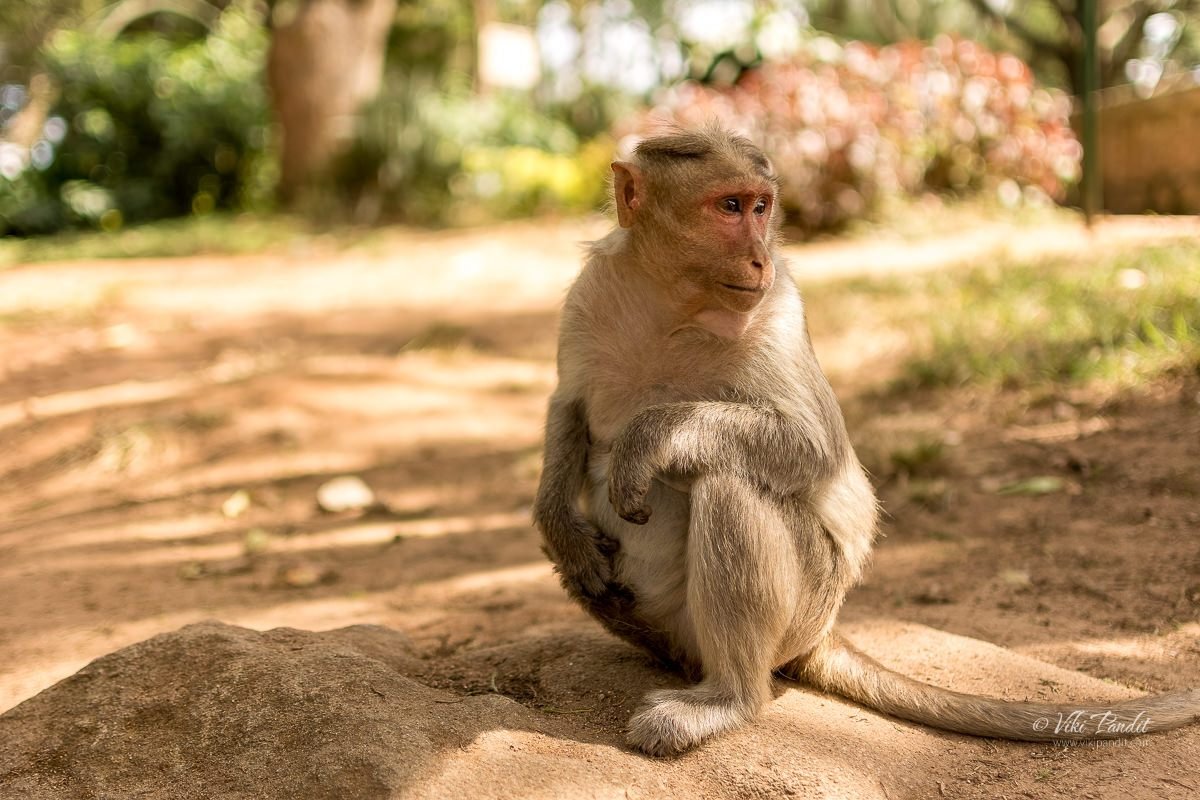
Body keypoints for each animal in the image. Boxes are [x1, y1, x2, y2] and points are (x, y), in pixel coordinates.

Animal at [535, 125, 1200, 758]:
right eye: (729, 206)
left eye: (760, 207)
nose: (759, 259)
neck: (676, 301)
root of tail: (821, 636)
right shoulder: (592, 289)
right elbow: (569, 405)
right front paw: (559, 524)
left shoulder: (778, 308)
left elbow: (812, 450)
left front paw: (650, 437)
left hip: (808, 602)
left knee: (728, 481)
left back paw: (727, 699)